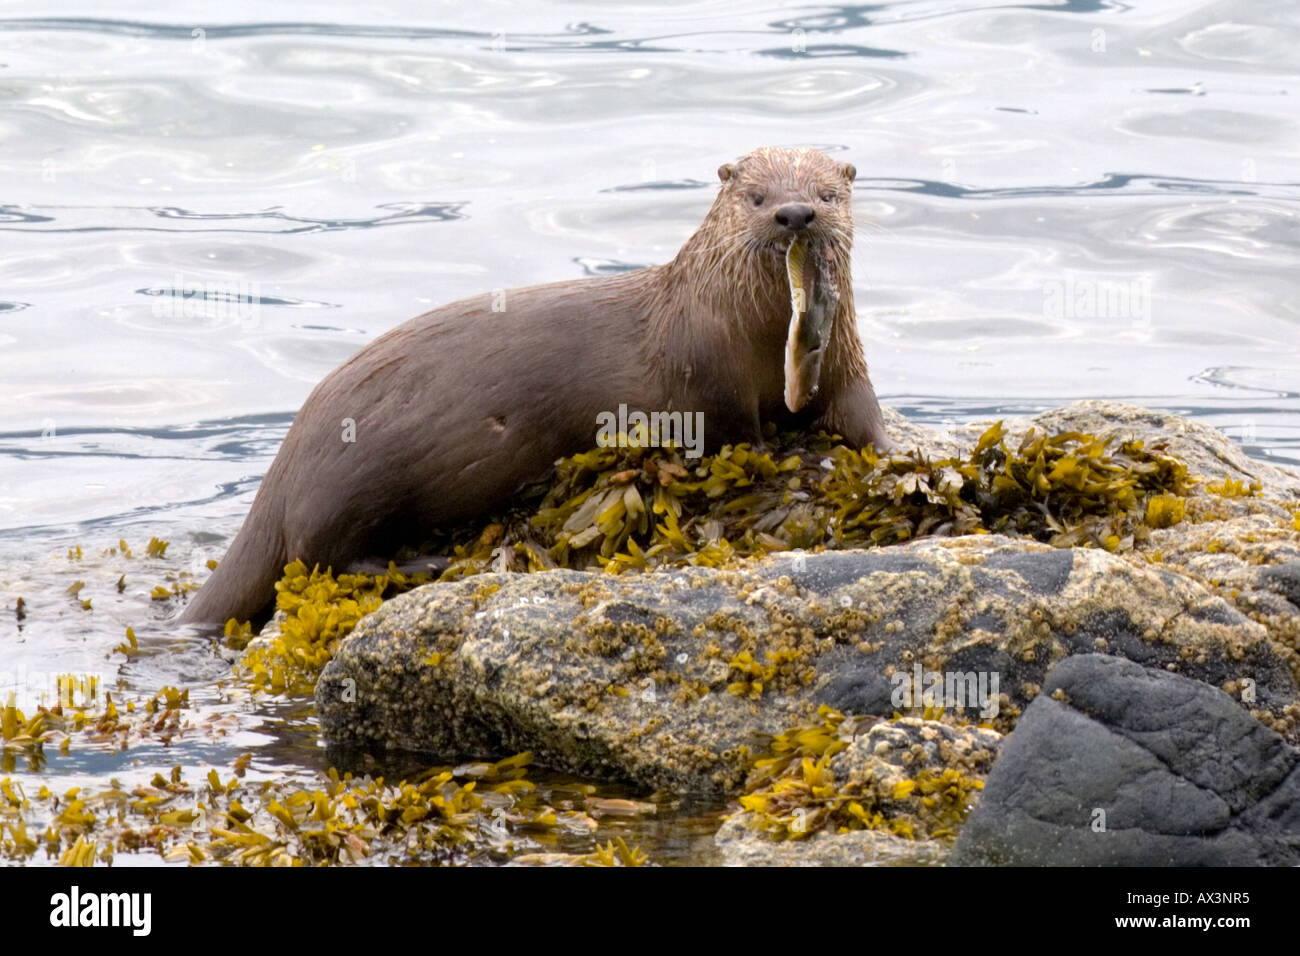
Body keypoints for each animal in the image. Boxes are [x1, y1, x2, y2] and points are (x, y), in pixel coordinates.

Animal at [180, 146, 891, 626]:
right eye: (757, 197)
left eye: (826, 195)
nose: (795, 213)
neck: (752, 327)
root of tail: (287, 457)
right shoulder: (707, 377)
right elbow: (736, 436)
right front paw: (781, 467)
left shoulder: (845, 356)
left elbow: (864, 415)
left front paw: (889, 460)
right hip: (347, 481)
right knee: (318, 555)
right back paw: (420, 564)